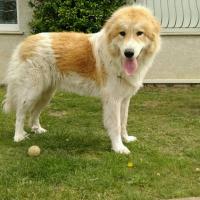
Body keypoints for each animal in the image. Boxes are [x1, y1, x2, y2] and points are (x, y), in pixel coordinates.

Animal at [3, 5, 161, 154]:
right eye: (122, 33)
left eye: (139, 33)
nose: (128, 53)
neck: (115, 56)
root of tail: (25, 42)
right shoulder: (113, 100)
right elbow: (116, 125)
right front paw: (118, 148)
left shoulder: (124, 99)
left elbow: (124, 121)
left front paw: (126, 139)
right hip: (31, 92)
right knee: (20, 113)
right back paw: (18, 136)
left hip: (45, 94)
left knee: (34, 112)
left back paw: (37, 129)